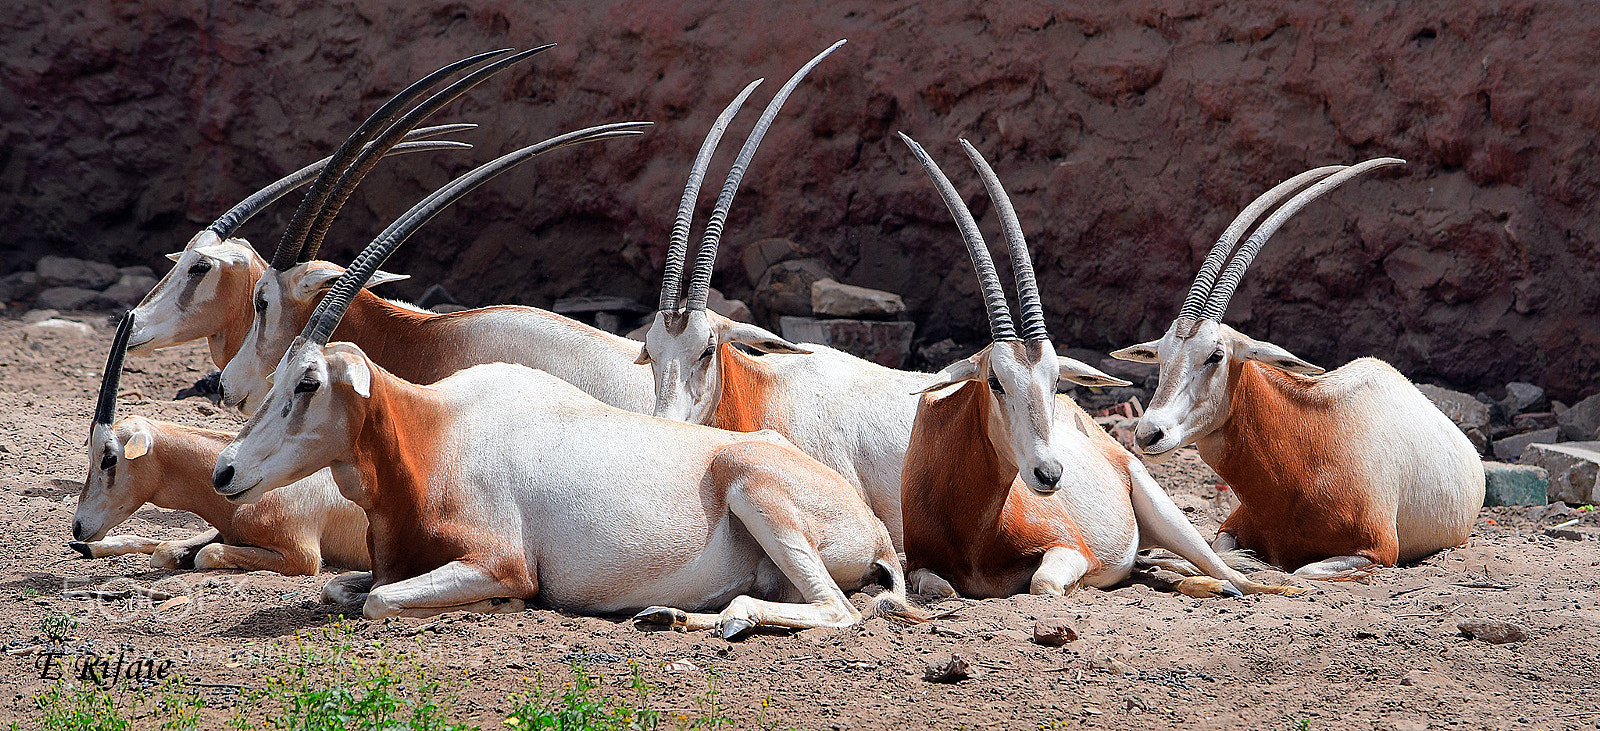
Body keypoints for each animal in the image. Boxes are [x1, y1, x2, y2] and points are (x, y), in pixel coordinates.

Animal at [71, 313, 369, 575]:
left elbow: (205, 553)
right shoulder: (225, 532)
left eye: (109, 458)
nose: (78, 526)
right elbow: (166, 549)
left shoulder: (301, 555)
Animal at [208, 137, 915, 638]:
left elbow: (378, 599)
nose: (225, 471)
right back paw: (670, 614)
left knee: (838, 609)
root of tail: (873, 527)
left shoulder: (499, 563)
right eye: (279, 376)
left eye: (308, 382)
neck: (432, 431)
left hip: (756, 490)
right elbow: (339, 586)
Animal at [895, 134, 1306, 598]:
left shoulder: (1070, 548)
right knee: (1155, 566)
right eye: (995, 381)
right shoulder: (918, 563)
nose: (1050, 474)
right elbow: (940, 587)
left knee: (1232, 574)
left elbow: (1042, 585)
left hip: (1167, 515)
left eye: (1057, 380)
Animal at [1109, 158, 1486, 578]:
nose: (1149, 434)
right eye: (1161, 355)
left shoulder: (1378, 550)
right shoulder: (1229, 527)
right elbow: (1219, 551)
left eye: (1215, 355)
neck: (1307, 448)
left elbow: (1301, 571)